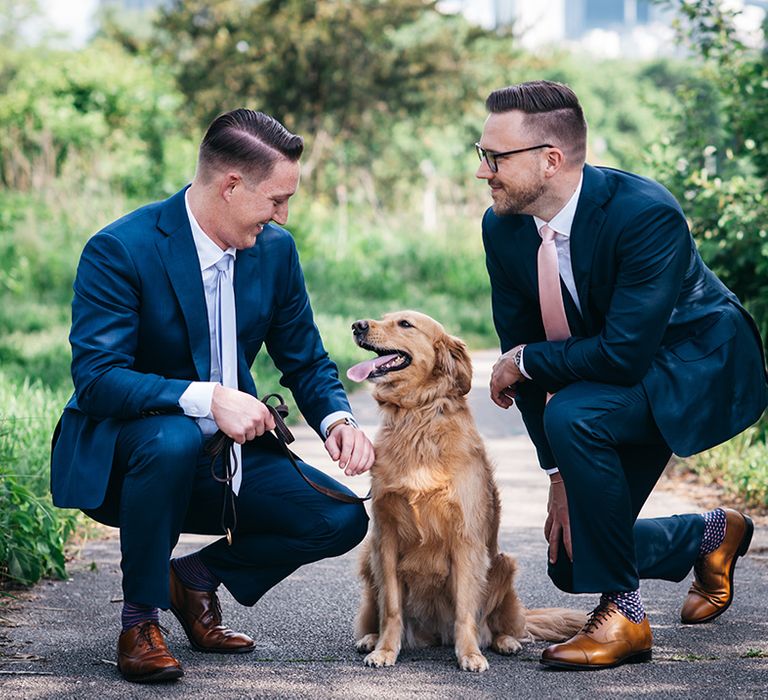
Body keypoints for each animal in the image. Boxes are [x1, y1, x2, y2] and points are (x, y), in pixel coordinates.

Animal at [344, 312, 584, 672]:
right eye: (383, 318)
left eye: (404, 324)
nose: (358, 325)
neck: (417, 417)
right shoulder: (384, 537)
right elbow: (392, 607)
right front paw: (386, 649)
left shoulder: (466, 539)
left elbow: (465, 610)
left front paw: (469, 653)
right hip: (366, 557)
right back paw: (372, 638)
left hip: (503, 564)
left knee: (504, 625)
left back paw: (505, 641)